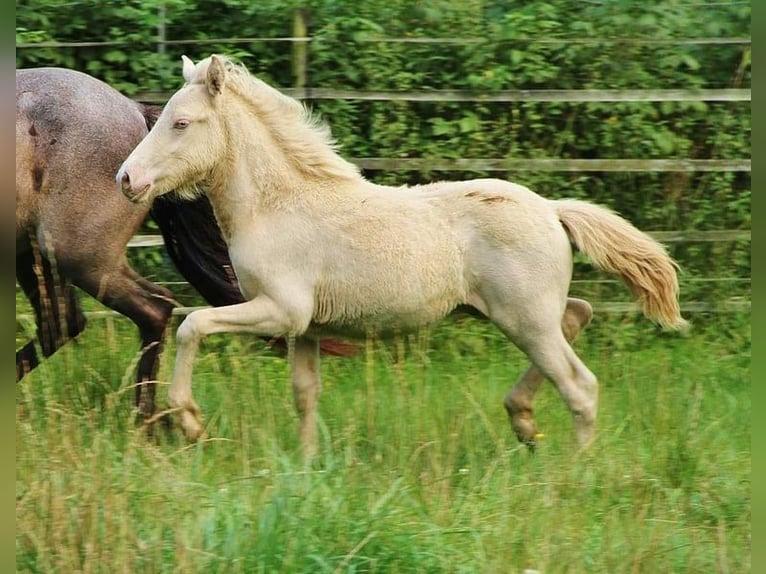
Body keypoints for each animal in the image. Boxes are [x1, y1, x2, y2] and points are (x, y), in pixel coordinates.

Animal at [16, 66, 356, 424]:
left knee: (151, 308)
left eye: (181, 123)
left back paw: (146, 422)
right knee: (62, 323)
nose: (129, 178)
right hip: (39, 255)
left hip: (79, 256)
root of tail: (133, 109)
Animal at [117, 54, 686, 456]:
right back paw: (522, 420)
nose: (127, 179)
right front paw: (305, 466)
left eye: (181, 123)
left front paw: (188, 419)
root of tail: (550, 208)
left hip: (524, 318)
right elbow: (304, 393)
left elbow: (193, 324)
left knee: (579, 385)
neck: (278, 206)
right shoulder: (306, 328)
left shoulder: (280, 311)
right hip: (524, 315)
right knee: (578, 314)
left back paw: (573, 471)